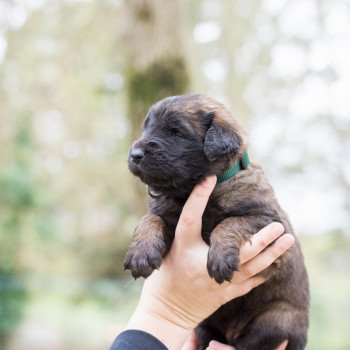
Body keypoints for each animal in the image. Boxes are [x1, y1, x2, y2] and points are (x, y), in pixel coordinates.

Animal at [123, 93, 308, 350]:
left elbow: (230, 223)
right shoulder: (169, 218)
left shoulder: (271, 224)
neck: (191, 191)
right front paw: (141, 253)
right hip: (204, 325)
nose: (135, 155)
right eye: (146, 128)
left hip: (278, 318)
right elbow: (150, 218)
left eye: (176, 132)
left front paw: (221, 257)